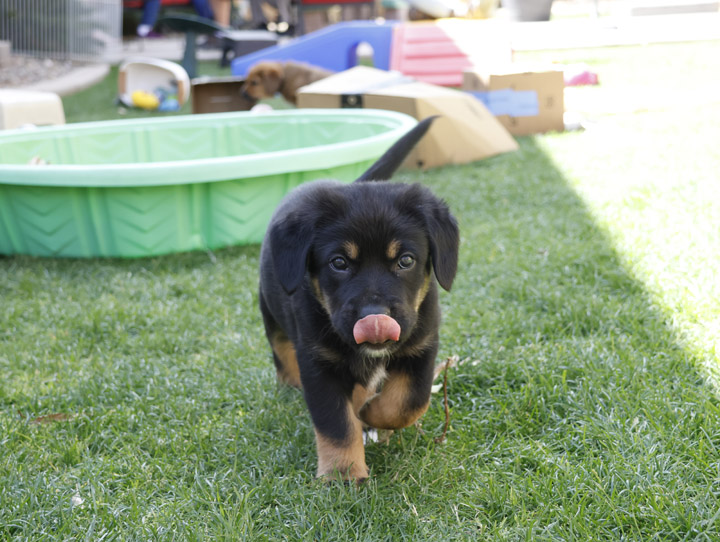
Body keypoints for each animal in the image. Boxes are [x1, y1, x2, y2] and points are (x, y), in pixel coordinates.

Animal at [262, 119, 458, 484]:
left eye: (406, 260)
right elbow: (336, 422)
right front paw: (343, 474)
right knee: (280, 349)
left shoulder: (422, 345)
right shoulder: (318, 361)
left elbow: (408, 401)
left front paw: (372, 415)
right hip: (270, 310)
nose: (374, 316)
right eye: (339, 262)